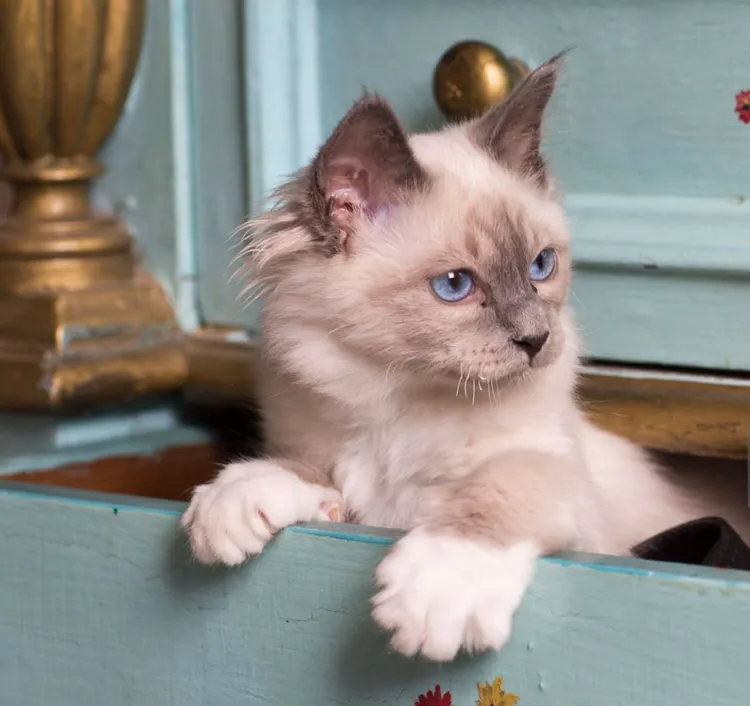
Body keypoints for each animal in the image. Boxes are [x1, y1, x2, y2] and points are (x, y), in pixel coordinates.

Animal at [182, 55, 704, 660]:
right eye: (455, 285)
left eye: (541, 265)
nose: (537, 339)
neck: (399, 403)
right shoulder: (326, 453)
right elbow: (294, 465)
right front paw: (233, 503)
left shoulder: (562, 494)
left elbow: (497, 490)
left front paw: (437, 590)